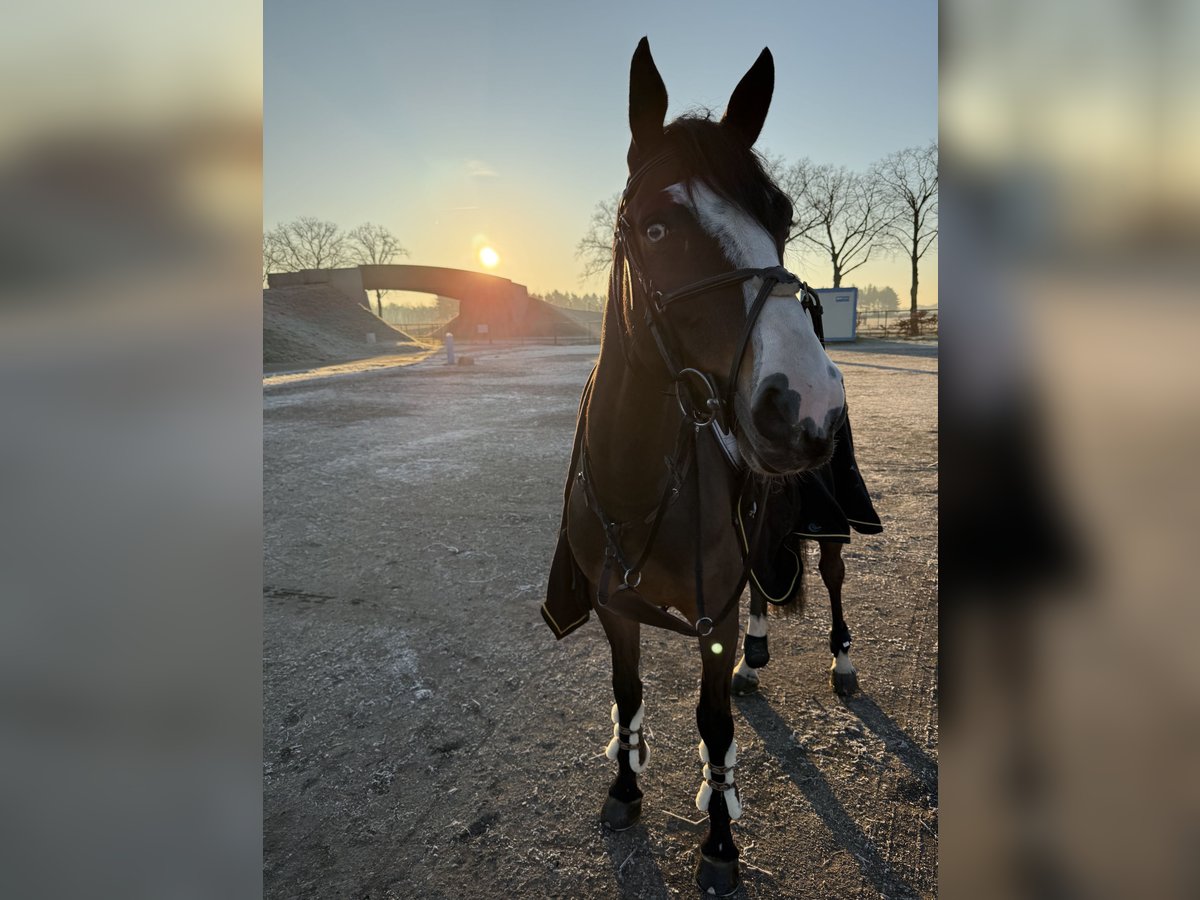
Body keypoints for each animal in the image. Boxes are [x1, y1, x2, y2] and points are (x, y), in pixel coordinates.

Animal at [542, 37, 844, 897]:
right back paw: (759, 652)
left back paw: (838, 659)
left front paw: (719, 842)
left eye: (782, 215)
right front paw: (625, 786)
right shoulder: (613, 605)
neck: (641, 477)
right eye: (654, 226)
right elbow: (628, 694)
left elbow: (713, 728)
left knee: (831, 575)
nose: (807, 402)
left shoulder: (710, 616)